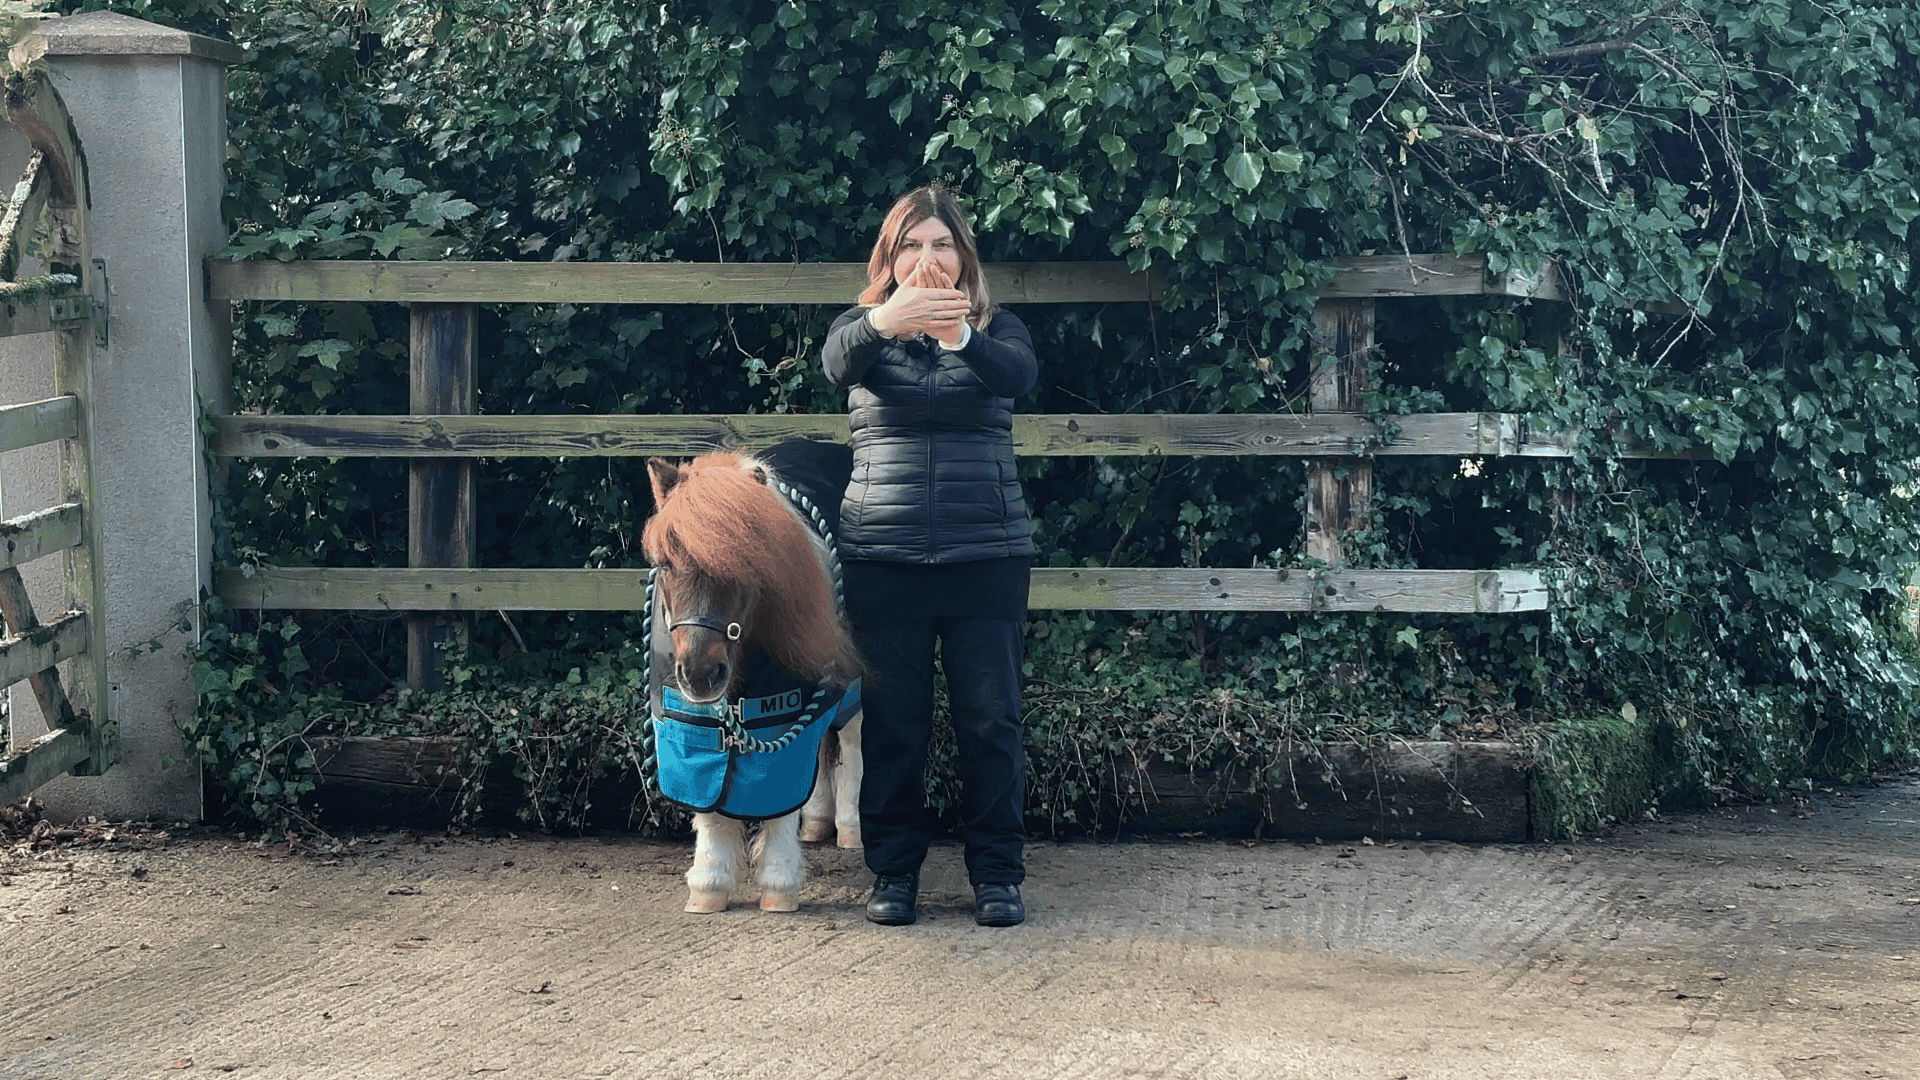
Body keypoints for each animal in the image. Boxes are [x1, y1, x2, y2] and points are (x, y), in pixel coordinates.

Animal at [643, 446, 864, 913]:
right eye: (665, 562)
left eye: (746, 561)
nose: (700, 673)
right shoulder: (690, 724)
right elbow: (709, 802)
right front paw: (709, 884)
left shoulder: (782, 714)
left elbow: (780, 798)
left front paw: (779, 885)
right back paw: (817, 823)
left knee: (850, 744)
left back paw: (849, 827)